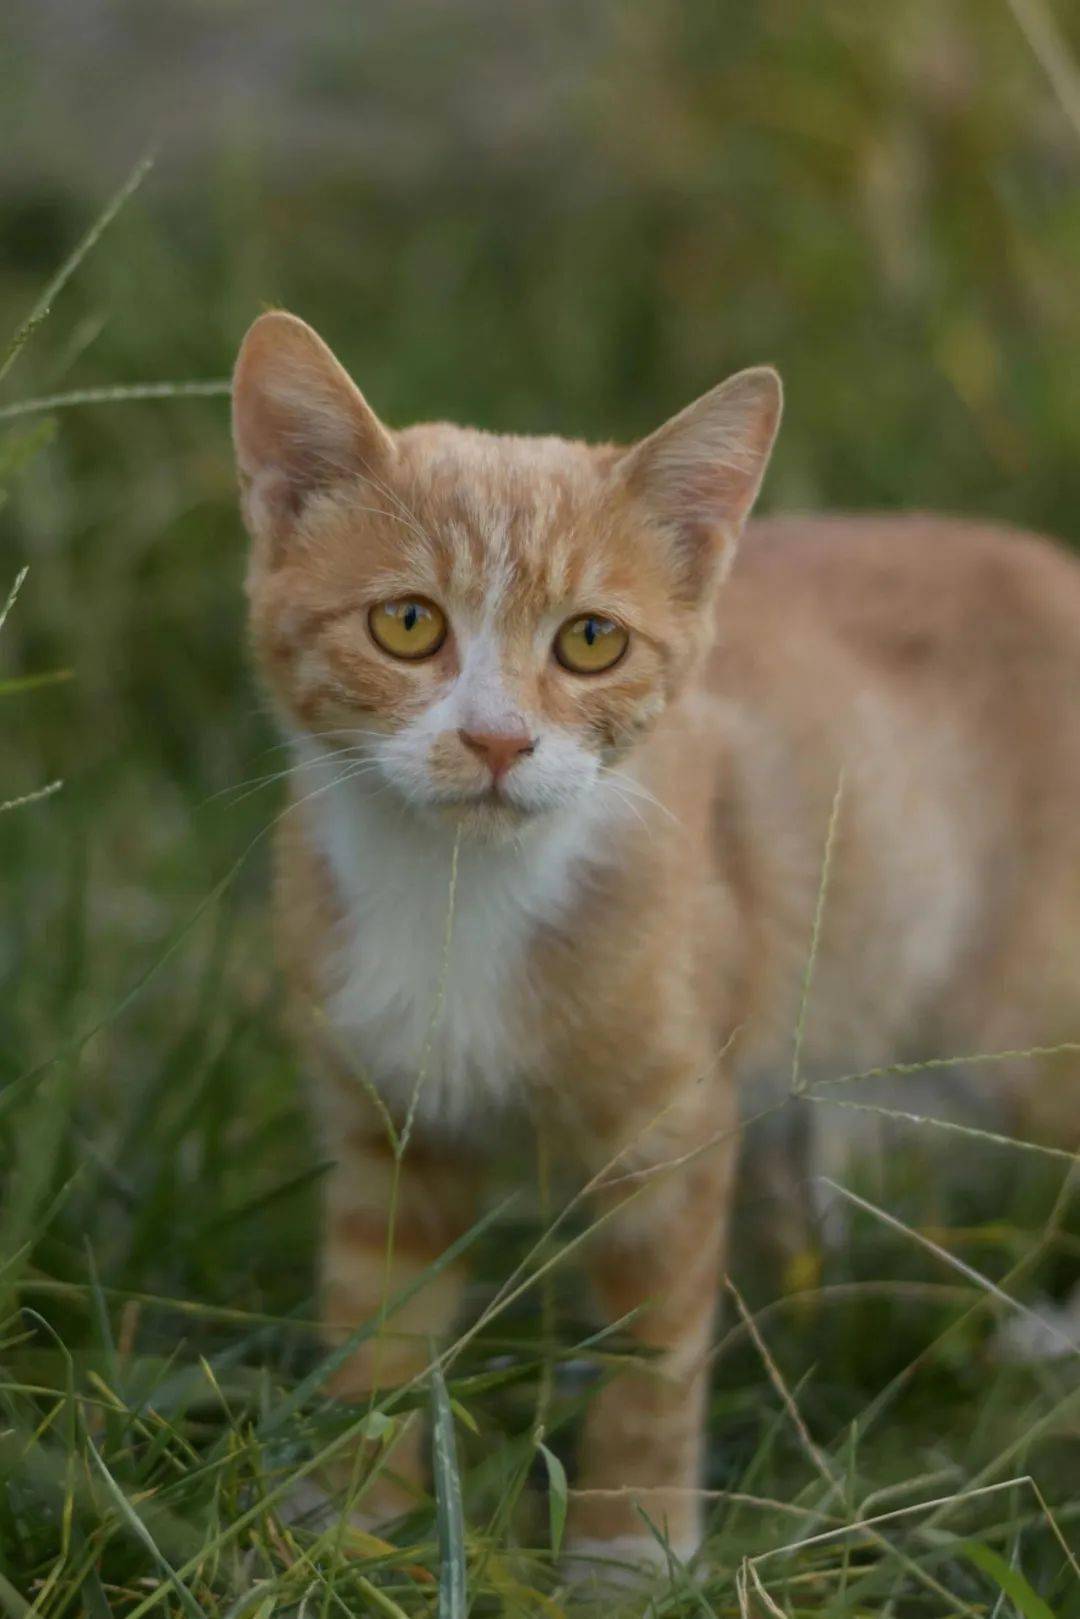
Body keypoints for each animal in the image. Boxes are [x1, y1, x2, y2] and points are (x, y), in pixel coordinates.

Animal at [229, 309, 1080, 1573]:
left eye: (591, 640)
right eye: (408, 622)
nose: (496, 739)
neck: (455, 897)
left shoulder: (674, 1129)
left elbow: (656, 1351)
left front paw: (627, 1551)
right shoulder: (386, 1122)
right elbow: (376, 1320)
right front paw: (355, 1527)